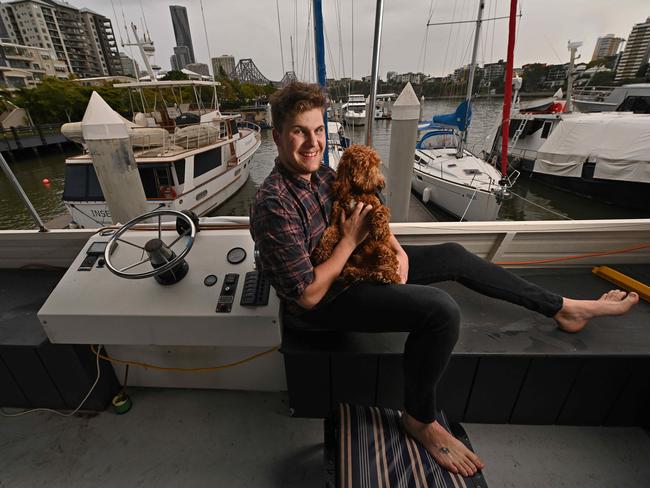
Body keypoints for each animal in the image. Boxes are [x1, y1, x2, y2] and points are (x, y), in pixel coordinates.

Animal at [310, 143, 398, 284]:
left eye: (376, 165)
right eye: (366, 165)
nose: (381, 184)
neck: (355, 192)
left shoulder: (374, 204)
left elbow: (382, 210)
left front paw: (379, 229)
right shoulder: (338, 219)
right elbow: (330, 232)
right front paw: (322, 251)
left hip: (382, 248)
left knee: (393, 271)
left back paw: (385, 275)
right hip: (350, 260)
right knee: (363, 273)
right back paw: (354, 273)